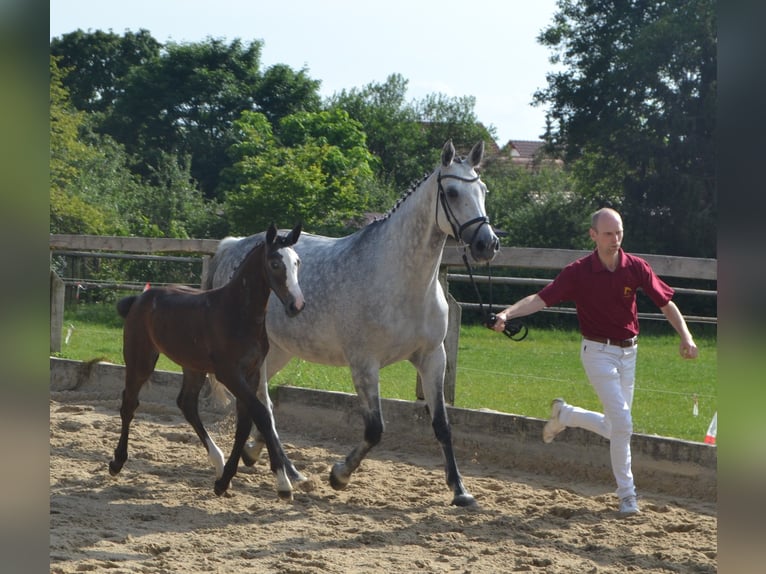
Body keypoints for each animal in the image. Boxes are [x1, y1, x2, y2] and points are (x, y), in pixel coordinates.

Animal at [108, 223, 306, 500]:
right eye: (275, 263)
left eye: (297, 261)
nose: (296, 305)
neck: (238, 314)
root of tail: (139, 299)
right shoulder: (229, 374)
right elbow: (261, 415)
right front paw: (283, 483)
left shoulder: (251, 373)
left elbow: (245, 423)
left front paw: (224, 481)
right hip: (140, 357)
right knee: (129, 403)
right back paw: (117, 462)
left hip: (192, 366)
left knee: (187, 404)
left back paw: (218, 464)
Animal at [206, 140, 498, 507]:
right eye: (454, 192)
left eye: (483, 190)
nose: (487, 244)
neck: (401, 281)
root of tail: (233, 246)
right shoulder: (363, 363)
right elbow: (375, 430)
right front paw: (339, 475)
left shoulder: (433, 357)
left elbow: (442, 424)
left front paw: (460, 490)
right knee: (262, 404)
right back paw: (284, 470)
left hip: (278, 351)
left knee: (261, 402)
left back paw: (270, 460)